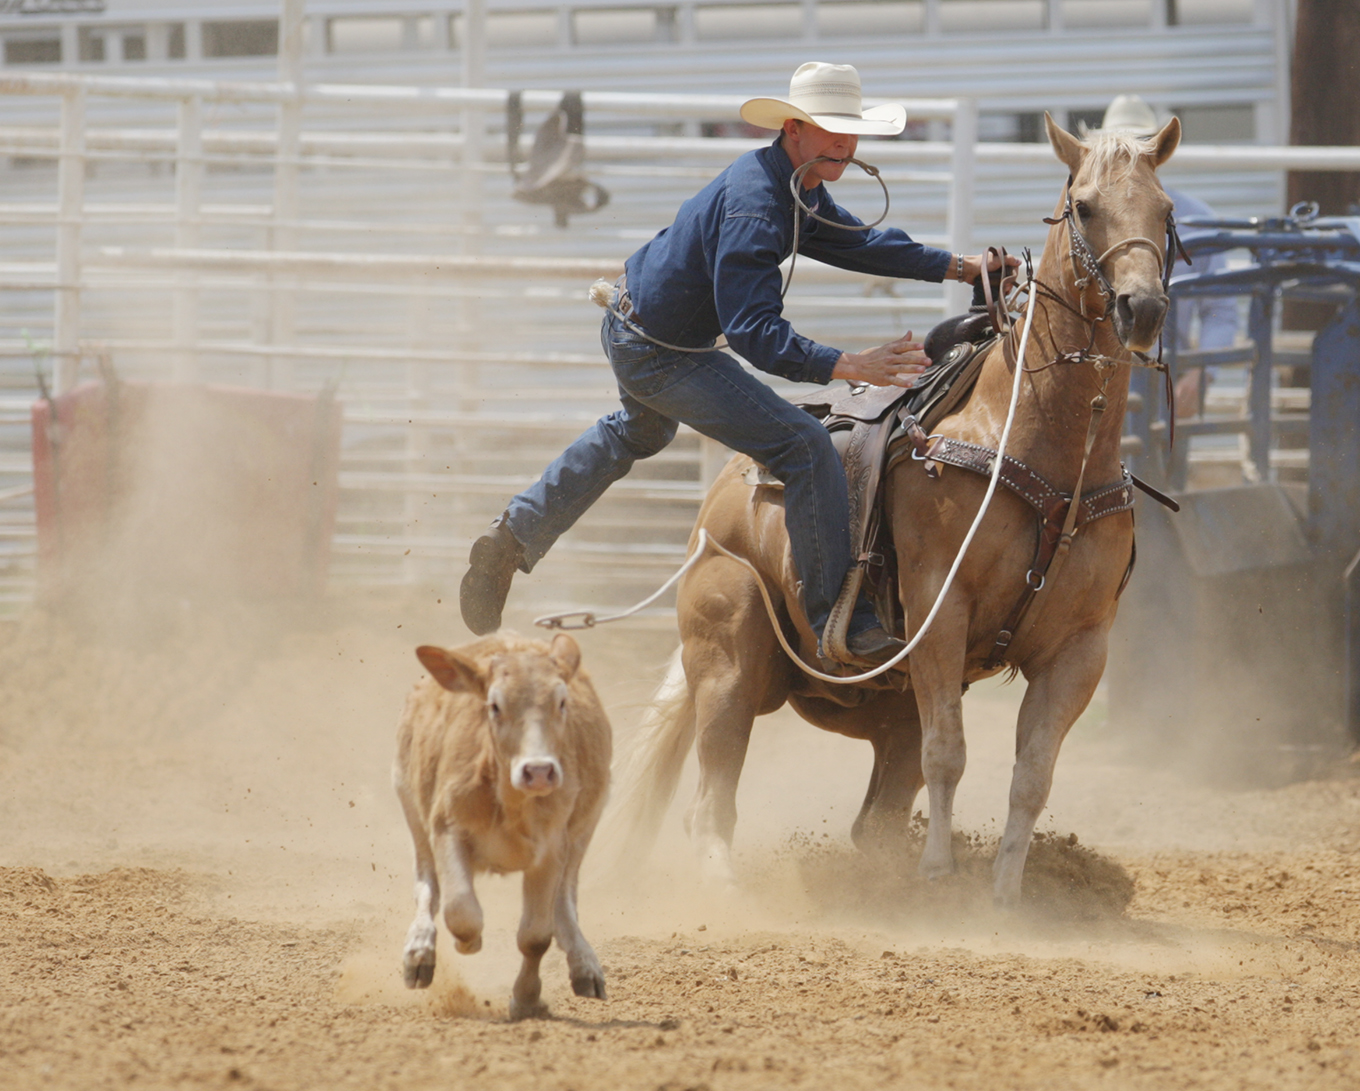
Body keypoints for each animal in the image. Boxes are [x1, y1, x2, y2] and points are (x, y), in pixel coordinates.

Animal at [391, 625, 609, 1017]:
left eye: (562, 702)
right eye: (494, 705)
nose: (538, 772)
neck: (511, 805)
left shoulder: (552, 849)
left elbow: (536, 936)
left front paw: (526, 999)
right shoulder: (446, 827)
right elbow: (460, 909)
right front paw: (468, 943)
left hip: (585, 827)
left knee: (564, 899)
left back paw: (585, 965)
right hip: (409, 802)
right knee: (427, 887)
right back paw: (419, 953)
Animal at [614, 112, 1180, 908]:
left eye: (1164, 210)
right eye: (1086, 206)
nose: (1143, 308)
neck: (1043, 445)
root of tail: (716, 502)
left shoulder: (1082, 649)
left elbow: (1033, 775)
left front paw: (1006, 895)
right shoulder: (941, 612)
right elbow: (950, 752)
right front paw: (940, 876)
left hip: (882, 707)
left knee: (874, 816)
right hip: (731, 654)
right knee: (711, 794)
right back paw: (726, 885)